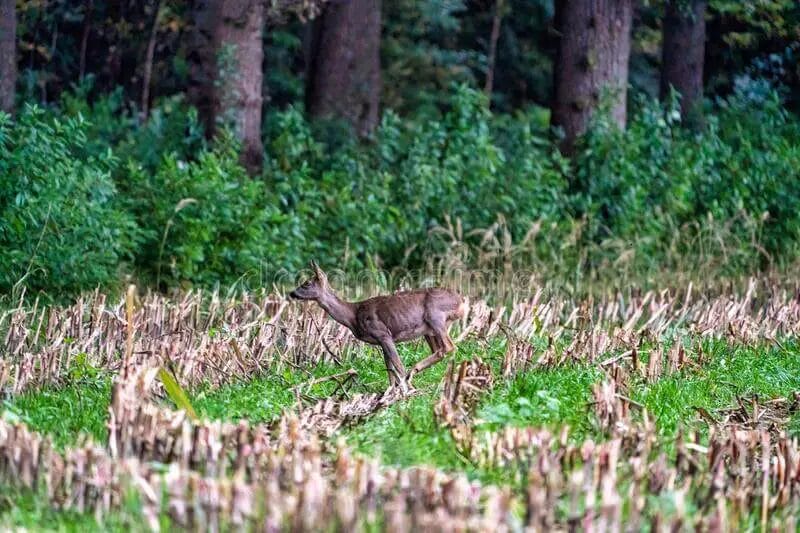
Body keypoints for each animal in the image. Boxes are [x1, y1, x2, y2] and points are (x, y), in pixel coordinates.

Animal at [290, 260, 468, 392]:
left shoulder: (383, 333)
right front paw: (391, 391)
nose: (292, 293)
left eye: (306, 283)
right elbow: (389, 367)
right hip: (429, 330)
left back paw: (413, 373)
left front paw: (407, 389)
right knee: (440, 350)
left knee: (449, 346)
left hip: (435, 316)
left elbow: (398, 365)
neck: (353, 315)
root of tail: (462, 301)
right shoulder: (381, 341)